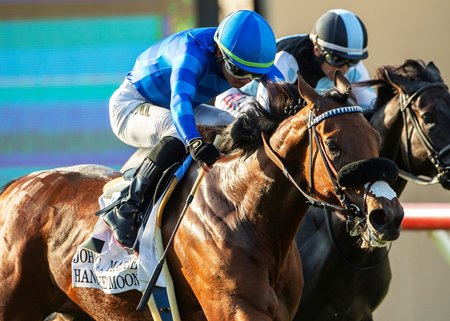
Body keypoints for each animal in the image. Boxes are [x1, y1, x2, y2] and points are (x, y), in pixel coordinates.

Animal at [0, 71, 402, 318]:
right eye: (333, 145)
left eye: (376, 138)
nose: (388, 215)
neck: (244, 214)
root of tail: (17, 185)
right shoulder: (236, 309)